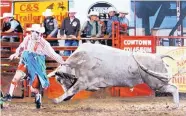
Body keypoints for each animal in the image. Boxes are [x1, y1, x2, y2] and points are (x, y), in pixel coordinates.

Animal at [47, 43, 179, 107]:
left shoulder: (82, 82)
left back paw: (176, 105)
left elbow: (71, 90)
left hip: (157, 83)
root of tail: (157, 56)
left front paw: (56, 100)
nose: (67, 100)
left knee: (174, 88)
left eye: (60, 80)